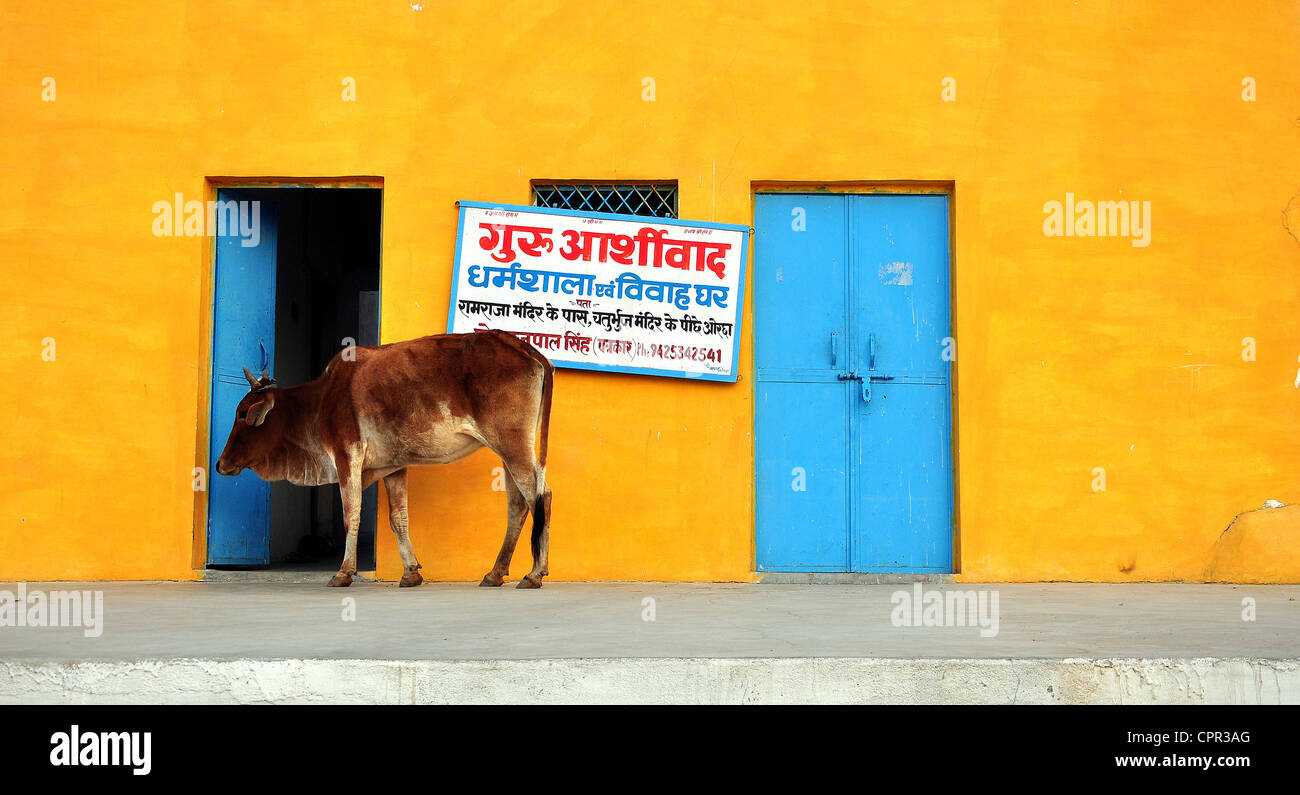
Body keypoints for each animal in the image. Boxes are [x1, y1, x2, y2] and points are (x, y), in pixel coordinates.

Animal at [211, 326, 553, 587]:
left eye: (242, 414)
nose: (219, 464)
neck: (320, 400)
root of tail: (525, 348)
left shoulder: (346, 453)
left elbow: (351, 515)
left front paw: (344, 572)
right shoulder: (393, 465)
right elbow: (398, 518)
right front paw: (411, 572)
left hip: (512, 444)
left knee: (540, 496)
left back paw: (534, 573)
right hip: (509, 450)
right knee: (518, 504)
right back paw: (495, 573)